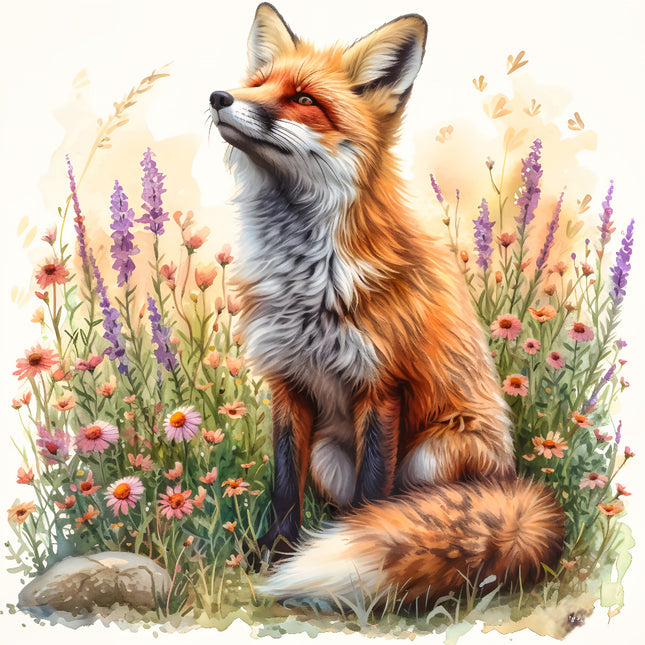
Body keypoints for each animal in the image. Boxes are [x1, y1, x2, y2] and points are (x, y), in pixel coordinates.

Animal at [209, 3, 565, 606]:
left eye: (304, 99)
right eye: (255, 85)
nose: (218, 97)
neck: (308, 277)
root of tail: (511, 482)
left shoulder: (381, 385)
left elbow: (375, 494)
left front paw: (362, 546)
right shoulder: (287, 383)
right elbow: (283, 486)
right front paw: (276, 554)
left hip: (433, 452)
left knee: (405, 505)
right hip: (329, 456)